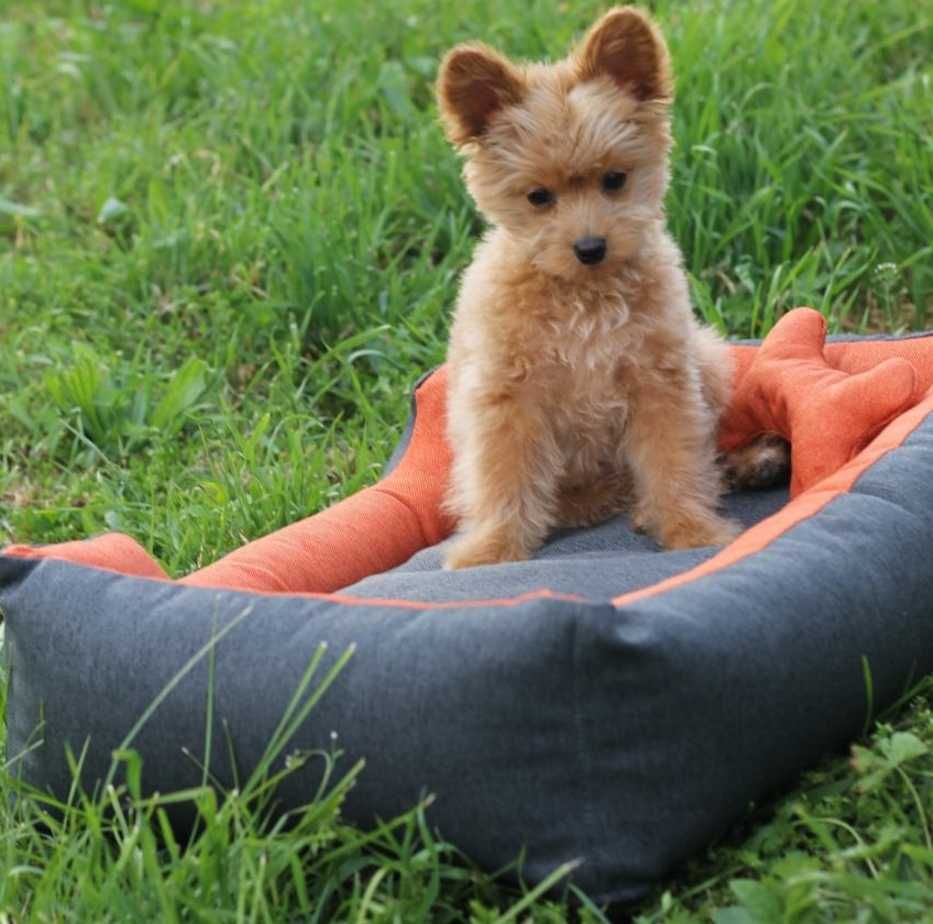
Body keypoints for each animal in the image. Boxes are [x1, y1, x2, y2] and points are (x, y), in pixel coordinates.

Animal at [436, 5, 756, 572]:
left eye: (614, 180)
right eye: (539, 197)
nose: (590, 247)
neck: (583, 300)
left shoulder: (660, 384)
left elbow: (675, 465)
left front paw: (691, 530)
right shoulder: (506, 400)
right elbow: (504, 482)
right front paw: (493, 550)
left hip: (708, 360)